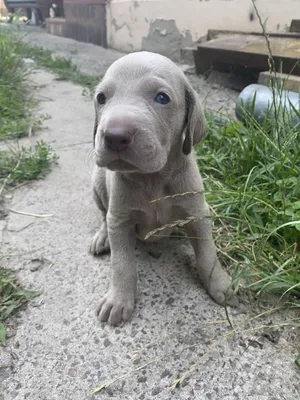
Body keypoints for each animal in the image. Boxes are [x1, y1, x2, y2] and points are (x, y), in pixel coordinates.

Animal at [90, 50, 238, 324]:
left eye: (162, 98)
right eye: (101, 98)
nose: (114, 136)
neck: (153, 178)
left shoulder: (198, 213)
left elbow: (207, 254)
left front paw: (220, 284)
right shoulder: (120, 220)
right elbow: (121, 263)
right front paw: (119, 299)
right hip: (96, 184)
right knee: (103, 216)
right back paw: (102, 237)